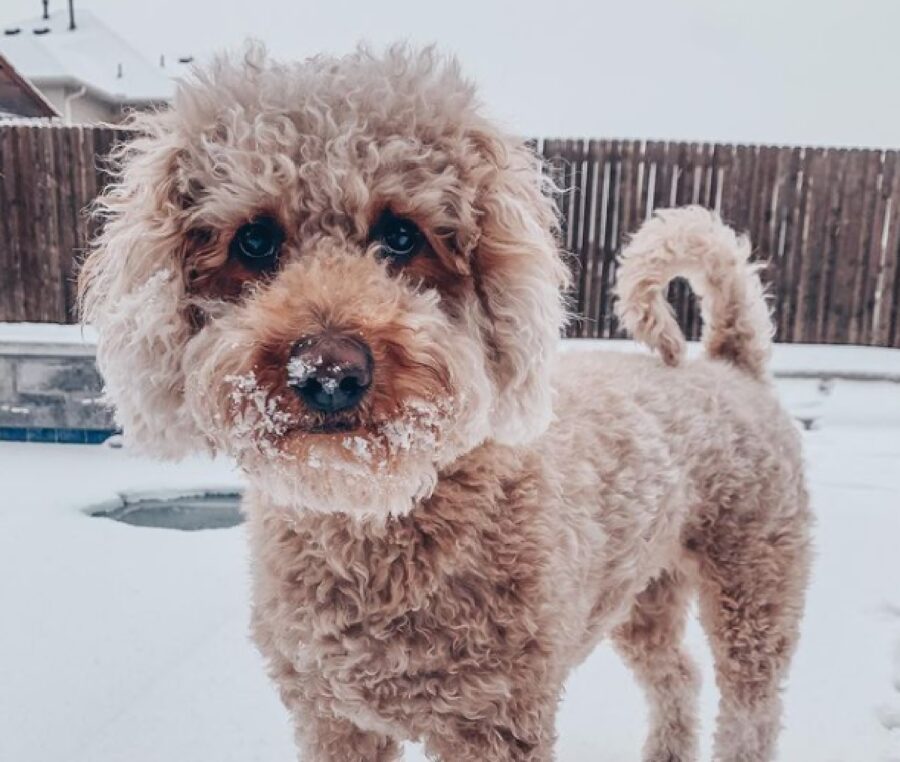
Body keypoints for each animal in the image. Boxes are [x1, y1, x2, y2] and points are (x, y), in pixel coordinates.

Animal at [81, 47, 812, 760]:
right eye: (254, 241)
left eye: (403, 235)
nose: (328, 371)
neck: (382, 516)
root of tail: (729, 360)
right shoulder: (333, 719)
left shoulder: (497, 720)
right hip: (642, 590)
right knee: (676, 674)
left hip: (755, 586)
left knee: (752, 711)